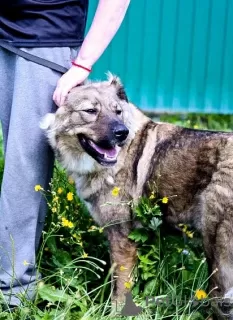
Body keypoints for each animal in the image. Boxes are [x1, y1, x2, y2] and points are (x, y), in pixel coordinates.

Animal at [41, 75, 233, 318]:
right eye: (90, 111)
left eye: (118, 111)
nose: (121, 133)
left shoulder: (121, 238)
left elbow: (120, 289)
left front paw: (114, 314)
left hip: (218, 252)